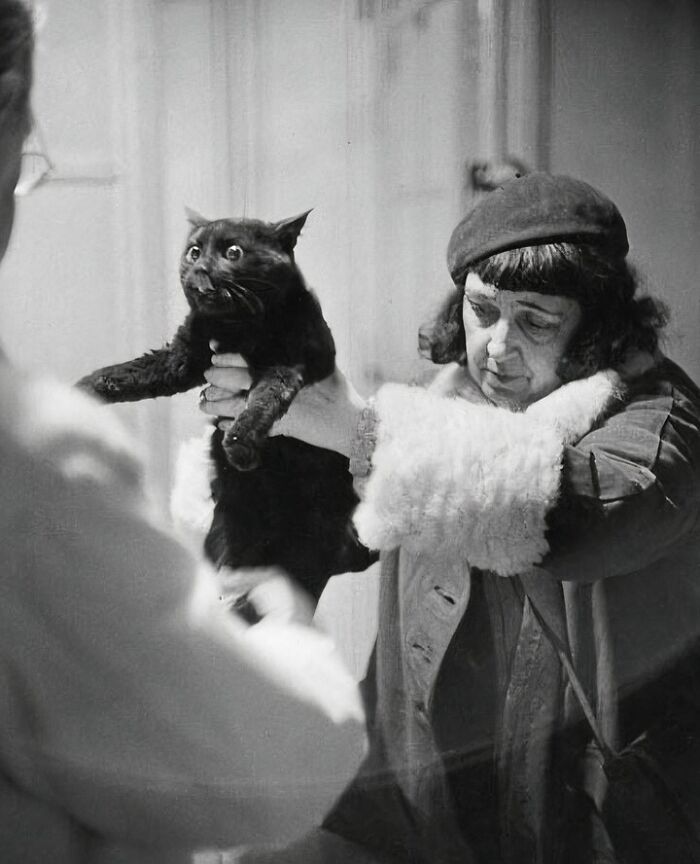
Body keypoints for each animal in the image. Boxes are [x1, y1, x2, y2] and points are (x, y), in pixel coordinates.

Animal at [76, 209, 378, 600]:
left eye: (233, 252)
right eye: (193, 251)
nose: (201, 268)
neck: (237, 326)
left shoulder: (289, 363)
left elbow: (264, 399)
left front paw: (240, 441)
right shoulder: (181, 358)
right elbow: (131, 372)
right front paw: (81, 388)